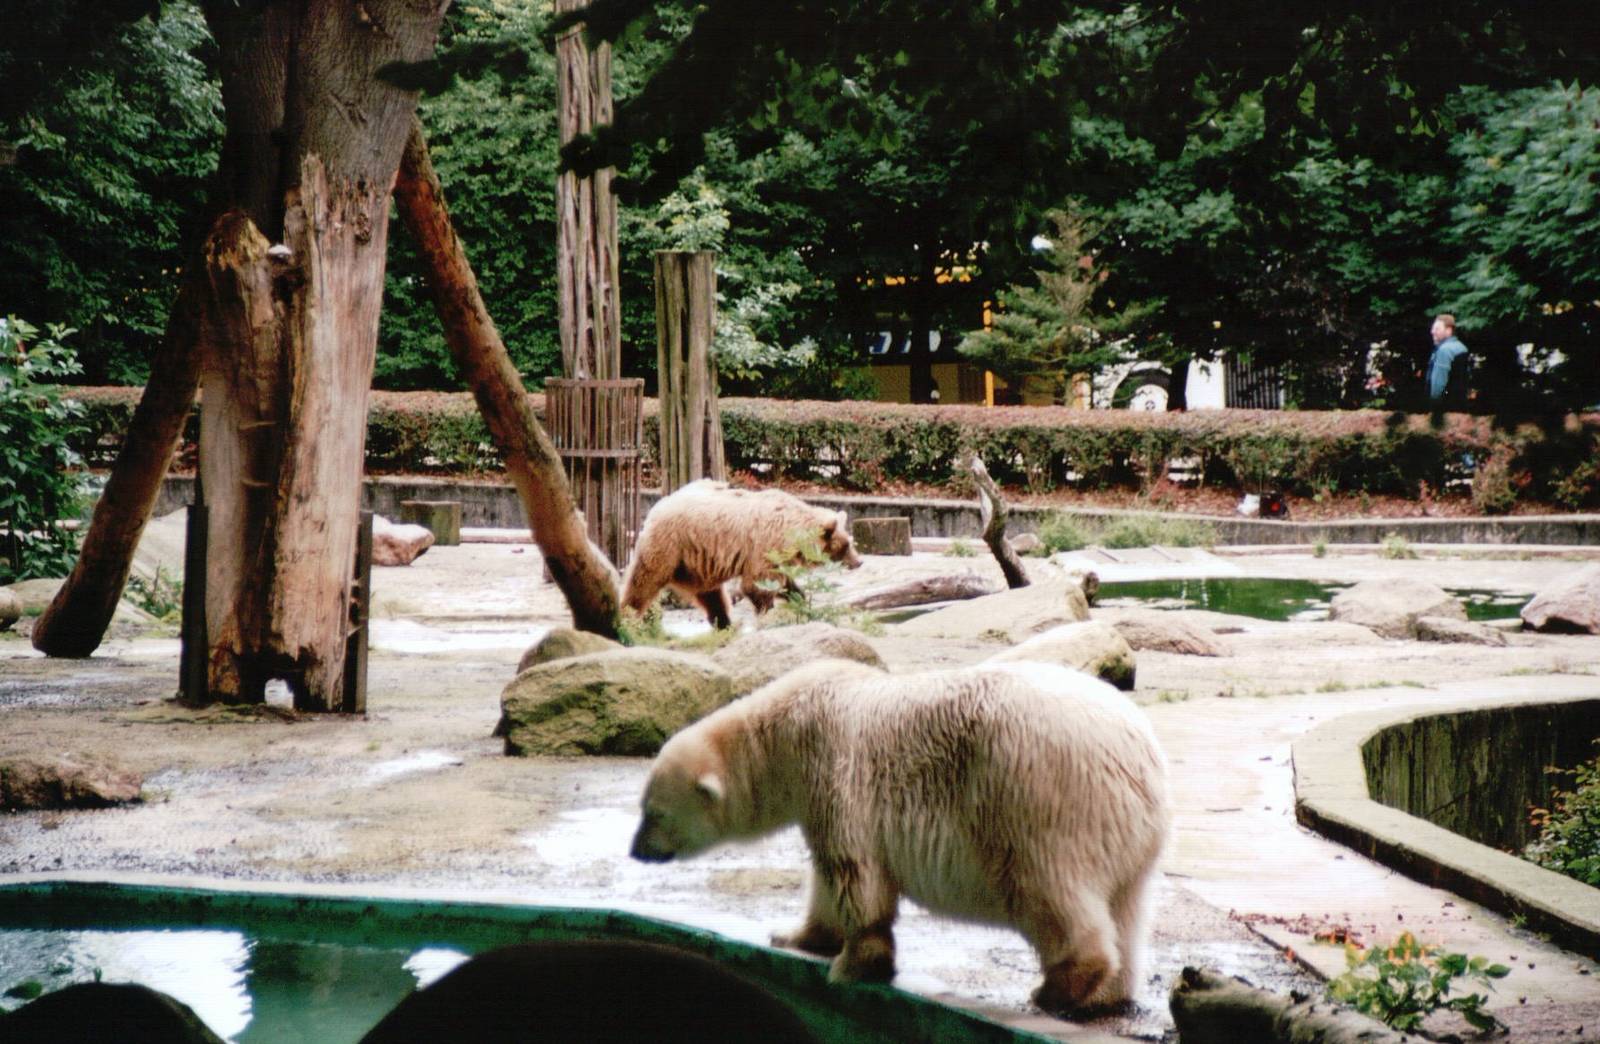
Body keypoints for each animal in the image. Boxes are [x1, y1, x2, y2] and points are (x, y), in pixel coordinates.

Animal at [621, 480, 862, 629]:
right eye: (846, 545)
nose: (859, 562)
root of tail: (659, 504)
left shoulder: (777, 556)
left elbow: (784, 583)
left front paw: (800, 600)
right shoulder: (765, 547)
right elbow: (757, 584)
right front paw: (767, 614)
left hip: (697, 564)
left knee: (711, 596)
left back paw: (724, 623)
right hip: (670, 546)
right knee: (644, 581)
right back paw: (628, 616)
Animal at [629, 658, 1171, 1016]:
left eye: (653, 813)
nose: (636, 851)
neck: (785, 732)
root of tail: (1138, 757)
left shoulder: (835, 769)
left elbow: (853, 871)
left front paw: (853, 966)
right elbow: (826, 881)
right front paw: (795, 936)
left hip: (1039, 797)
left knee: (1048, 889)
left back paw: (1057, 989)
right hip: (1128, 833)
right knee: (1127, 905)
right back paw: (1109, 994)